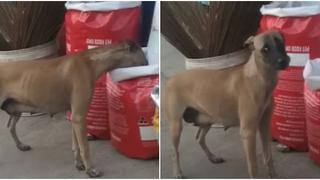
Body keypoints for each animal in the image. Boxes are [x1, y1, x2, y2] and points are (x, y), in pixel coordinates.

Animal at [0, 40, 148, 177]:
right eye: (142, 55)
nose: (147, 63)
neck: (91, 62)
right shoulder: (79, 117)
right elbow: (85, 147)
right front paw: (90, 169)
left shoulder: (74, 116)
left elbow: (76, 144)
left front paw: (78, 163)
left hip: (16, 109)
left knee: (11, 127)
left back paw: (20, 145)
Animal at [164, 30, 292, 178]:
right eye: (265, 49)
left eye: (281, 42)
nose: (284, 61)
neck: (259, 77)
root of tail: (171, 79)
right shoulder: (248, 132)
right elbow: (253, 167)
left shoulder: (264, 125)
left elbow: (268, 157)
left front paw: (273, 175)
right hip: (176, 126)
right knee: (174, 152)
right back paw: (177, 172)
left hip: (207, 119)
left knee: (199, 139)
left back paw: (212, 157)